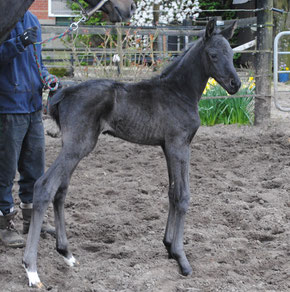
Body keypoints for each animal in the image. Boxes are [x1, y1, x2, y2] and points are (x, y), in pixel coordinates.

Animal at [22, 19, 240, 288]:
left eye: (231, 53)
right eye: (213, 55)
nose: (236, 84)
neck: (178, 92)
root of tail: (63, 93)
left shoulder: (167, 146)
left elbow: (171, 192)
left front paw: (169, 246)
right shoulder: (179, 144)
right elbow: (183, 195)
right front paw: (182, 259)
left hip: (74, 147)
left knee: (60, 190)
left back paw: (67, 253)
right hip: (78, 146)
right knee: (44, 186)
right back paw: (32, 270)